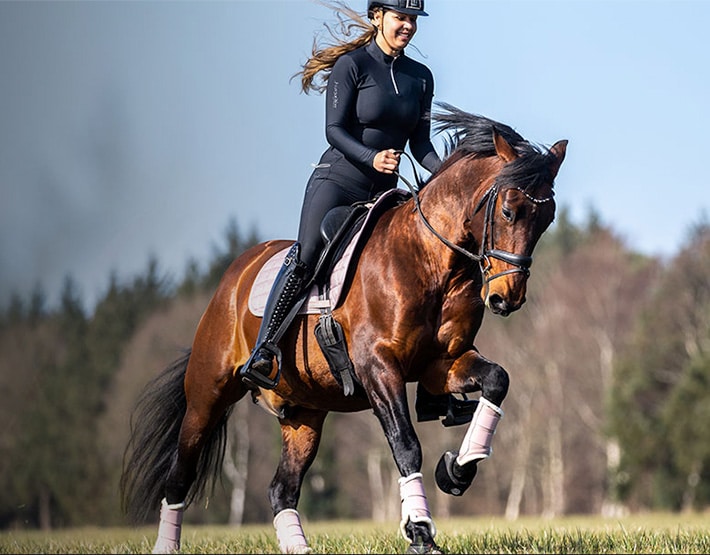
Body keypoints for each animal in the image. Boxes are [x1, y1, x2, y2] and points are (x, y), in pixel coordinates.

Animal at [120, 103, 567, 554]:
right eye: (509, 211)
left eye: (547, 219)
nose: (507, 298)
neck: (431, 261)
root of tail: (233, 276)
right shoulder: (377, 366)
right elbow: (405, 445)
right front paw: (420, 531)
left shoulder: (444, 363)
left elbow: (496, 380)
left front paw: (456, 470)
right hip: (207, 395)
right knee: (180, 476)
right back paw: (167, 544)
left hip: (305, 411)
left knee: (281, 488)